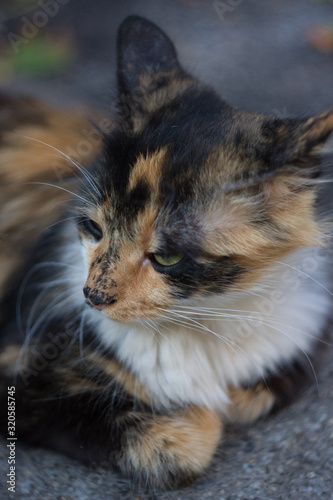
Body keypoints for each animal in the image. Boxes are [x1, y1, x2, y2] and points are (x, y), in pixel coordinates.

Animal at [0, 15, 332, 492]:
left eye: (167, 258)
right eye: (93, 228)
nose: (93, 296)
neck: (203, 320)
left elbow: (255, 394)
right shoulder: (21, 359)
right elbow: (177, 443)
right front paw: (196, 417)